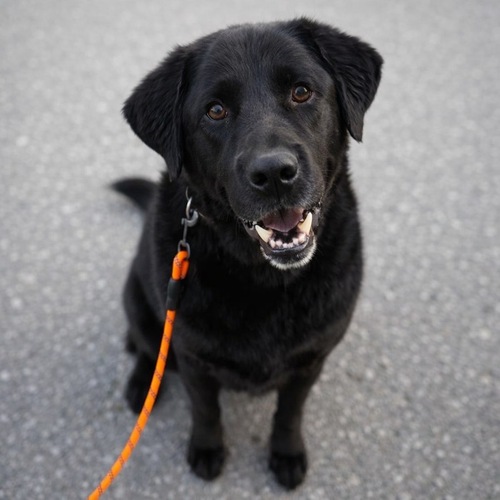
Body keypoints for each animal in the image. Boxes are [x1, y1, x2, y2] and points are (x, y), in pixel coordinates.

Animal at [114, 17, 382, 489]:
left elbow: (290, 413)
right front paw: (206, 450)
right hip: (139, 300)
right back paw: (142, 382)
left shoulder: (310, 362)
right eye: (215, 110)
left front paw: (286, 453)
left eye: (301, 91)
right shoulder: (193, 359)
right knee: (146, 345)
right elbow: (206, 411)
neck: (264, 278)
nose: (274, 173)